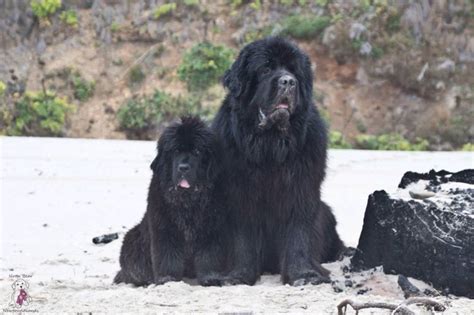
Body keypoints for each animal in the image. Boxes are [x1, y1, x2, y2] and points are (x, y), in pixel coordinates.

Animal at [113, 117, 228, 288]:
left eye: (197, 152)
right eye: (175, 151)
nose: (183, 168)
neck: (187, 200)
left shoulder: (211, 228)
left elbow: (209, 255)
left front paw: (210, 278)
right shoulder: (164, 228)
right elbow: (167, 256)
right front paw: (167, 279)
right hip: (132, 238)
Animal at [212, 37, 344, 286]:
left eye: (294, 71)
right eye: (265, 69)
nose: (288, 82)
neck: (270, 144)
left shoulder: (301, 190)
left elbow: (298, 235)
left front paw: (303, 274)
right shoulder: (239, 194)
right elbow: (242, 238)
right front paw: (240, 275)